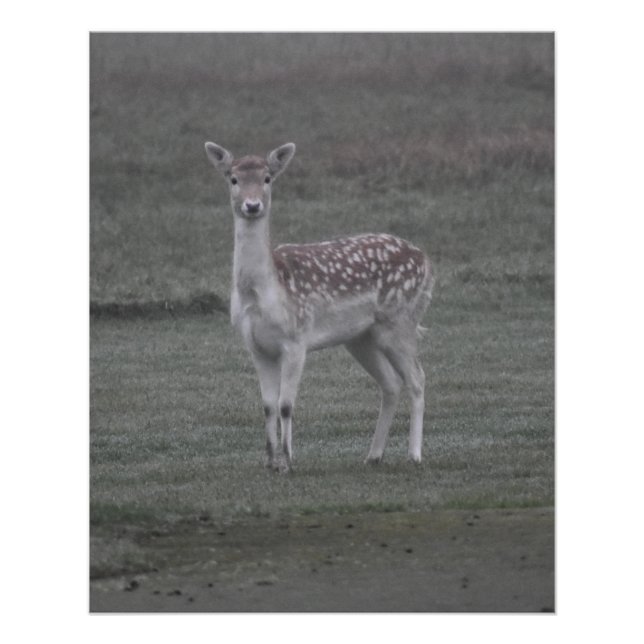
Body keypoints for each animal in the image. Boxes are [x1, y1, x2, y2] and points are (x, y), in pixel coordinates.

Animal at [204, 142, 434, 473]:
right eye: (233, 179)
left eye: (267, 178)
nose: (252, 205)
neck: (264, 292)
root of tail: (428, 262)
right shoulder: (256, 345)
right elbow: (267, 406)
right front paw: (269, 461)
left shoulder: (296, 339)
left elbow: (286, 405)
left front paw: (288, 461)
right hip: (360, 337)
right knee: (391, 383)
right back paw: (373, 455)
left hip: (400, 321)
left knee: (417, 379)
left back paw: (414, 455)